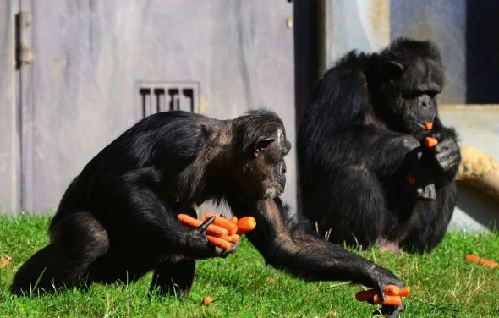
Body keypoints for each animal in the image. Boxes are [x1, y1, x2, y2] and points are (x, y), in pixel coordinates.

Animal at [10, 109, 402, 300]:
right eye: (282, 154)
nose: (285, 171)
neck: (220, 153)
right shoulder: (180, 135)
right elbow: (125, 181)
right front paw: (197, 240)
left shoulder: (250, 188)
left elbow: (283, 240)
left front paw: (378, 276)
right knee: (88, 235)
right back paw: (28, 292)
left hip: (116, 272)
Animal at [298, 38, 462, 253]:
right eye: (418, 92)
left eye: (432, 93)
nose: (426, 103)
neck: (382, 101)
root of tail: (388, 246)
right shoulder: (341, 83)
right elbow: (322, 141)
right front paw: (415, 148)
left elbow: (438, 133)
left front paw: (449, 150)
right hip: (326, 229)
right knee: (354, 172)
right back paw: (357, 243)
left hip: (401, 236)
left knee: (447, 183)